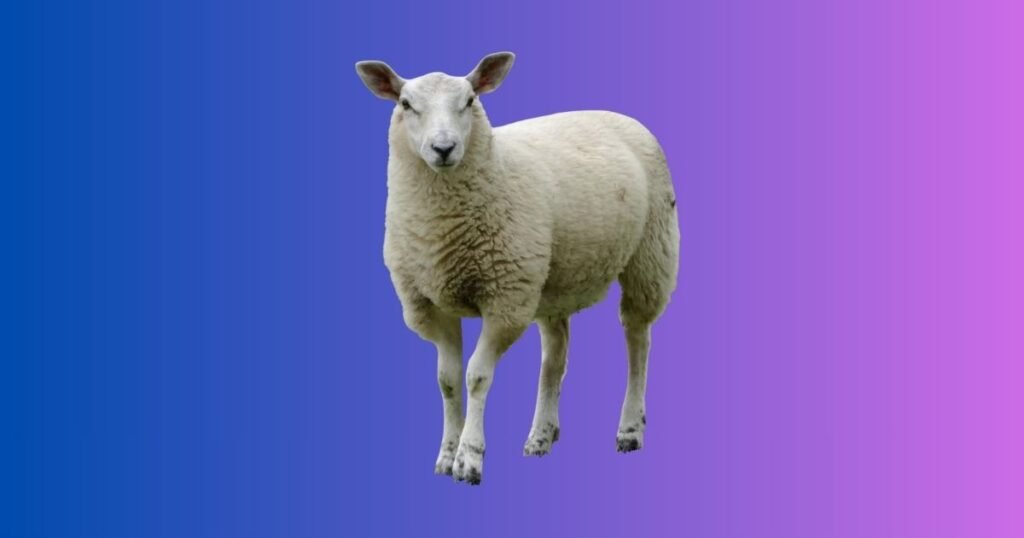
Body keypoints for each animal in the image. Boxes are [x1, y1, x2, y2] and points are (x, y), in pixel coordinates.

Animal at [355, 52, 679, 485]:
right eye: (406, 104)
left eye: (470, 101)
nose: (444, 148)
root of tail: (619, 115)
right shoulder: (430, 304)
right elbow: (448, 382)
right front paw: (446, 454)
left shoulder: (505, 301)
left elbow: (476, 376)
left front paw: (469, 458)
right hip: (552, 278)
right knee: (556, 355)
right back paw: (541, 435)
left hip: (650, 252)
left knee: (637, 339)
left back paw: (629, 429)